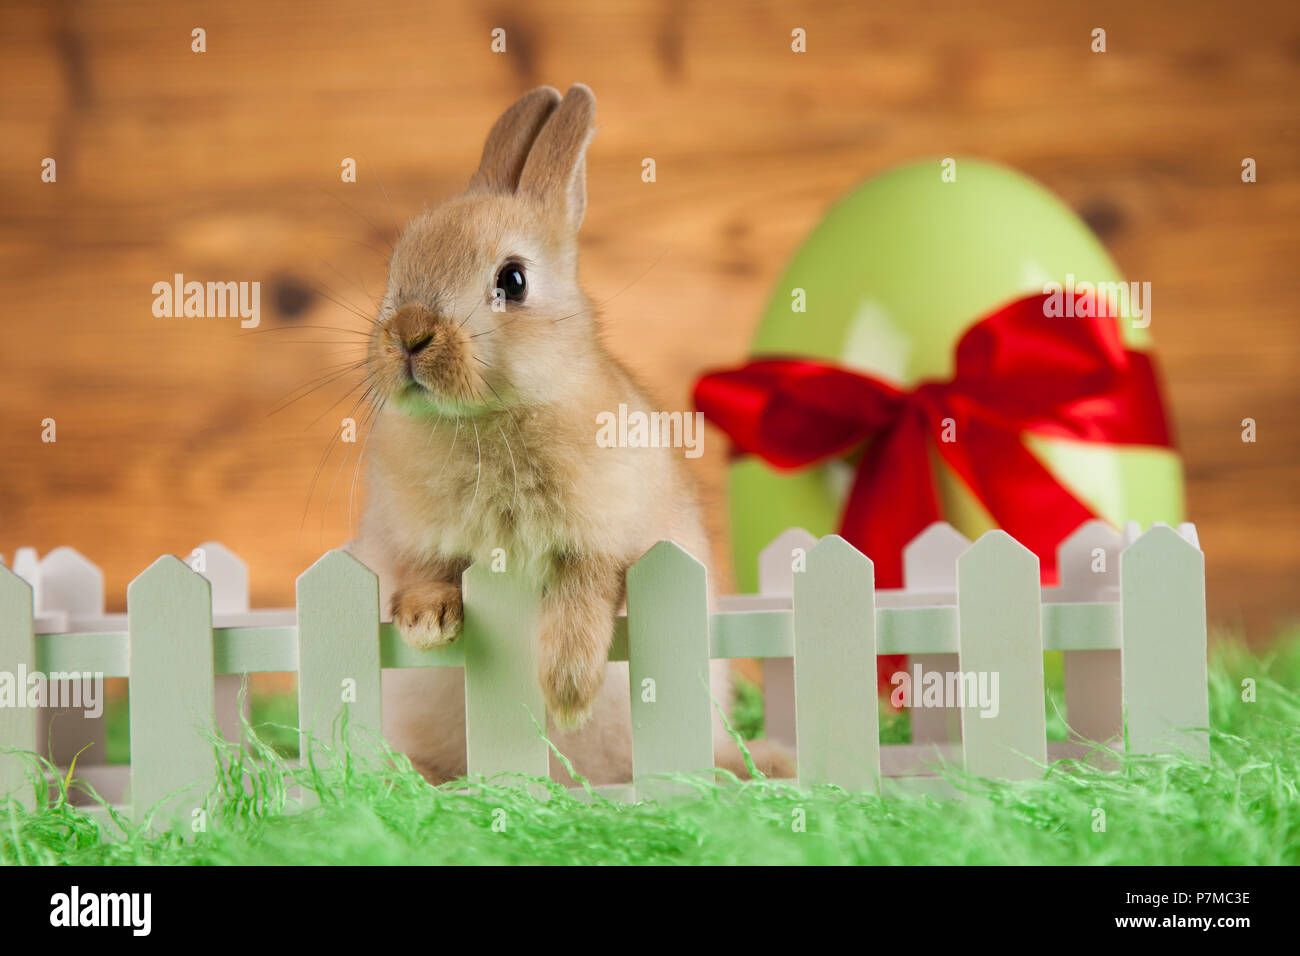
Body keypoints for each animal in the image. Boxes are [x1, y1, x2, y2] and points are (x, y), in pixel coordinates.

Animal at [349, 84, 792, 786]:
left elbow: (586, 585)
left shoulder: (614, 537)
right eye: (397, 266)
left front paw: (568, 689)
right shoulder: (402, 537)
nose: (409, 334)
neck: (488, 419)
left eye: (513, 280)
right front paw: (426, 621)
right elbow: (424, 570)